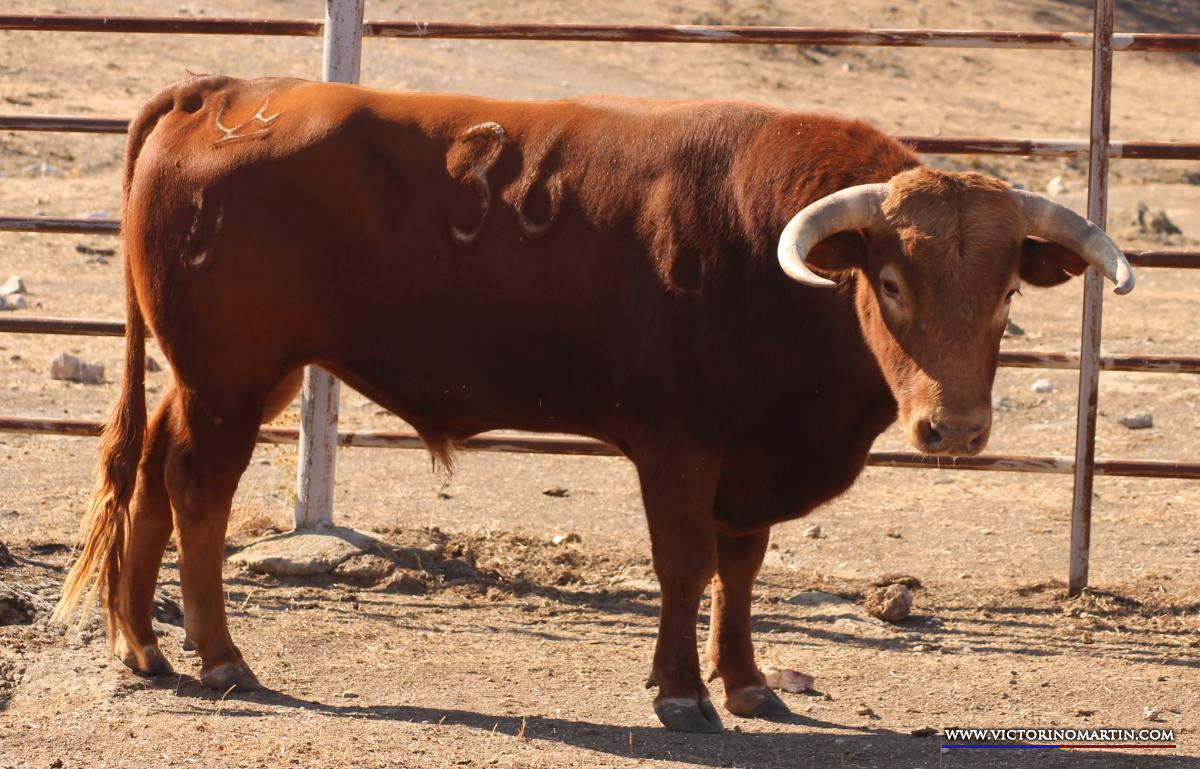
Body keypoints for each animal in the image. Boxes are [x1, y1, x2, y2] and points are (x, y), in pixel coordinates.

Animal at [54, 75, 1133, 733]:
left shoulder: (750, 457)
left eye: (1006, 291)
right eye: (894, 284)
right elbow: (686, 564)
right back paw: (219, 658)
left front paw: (747, 681)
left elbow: (741, 569)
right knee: (198, 491)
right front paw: (681, 693)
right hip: (231, 377)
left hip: (221, 377)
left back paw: (142, 646)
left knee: (151, 474)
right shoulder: (678, 441)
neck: (765, 260)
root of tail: (226, 94)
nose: (955, 429)